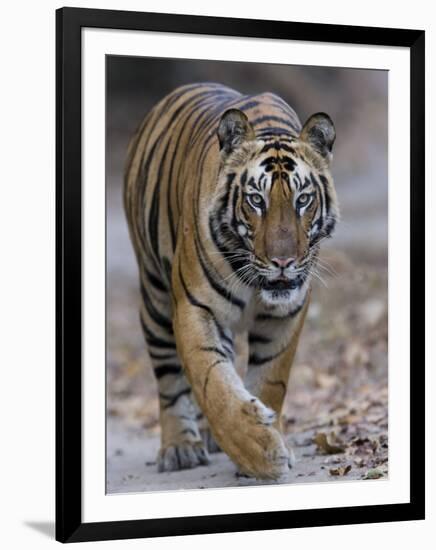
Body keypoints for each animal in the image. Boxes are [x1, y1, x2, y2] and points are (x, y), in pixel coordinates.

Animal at [124, 80, 338, 480]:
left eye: (303, 199)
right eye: (256, 200)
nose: (283, 262)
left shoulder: (287, 314)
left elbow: (270, 380)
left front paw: (268, 438)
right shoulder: (194, 307)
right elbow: (212, 383)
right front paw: (259, 452)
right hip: (156, 300)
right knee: (169, 378)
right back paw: (180, 448)